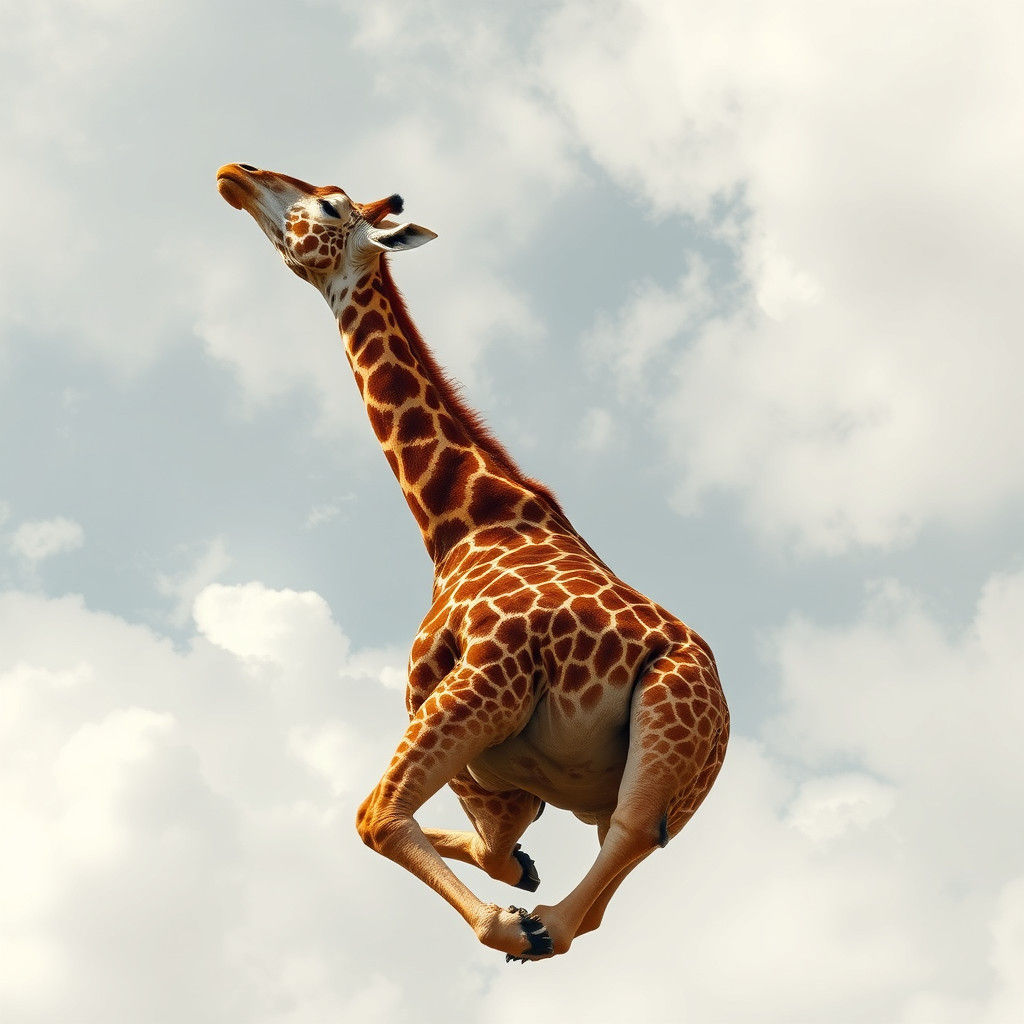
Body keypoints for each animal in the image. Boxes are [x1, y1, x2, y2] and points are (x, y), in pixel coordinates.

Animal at [216, 163, 729, 961]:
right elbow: (483, 843)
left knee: (619, 844)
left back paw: (533, 926)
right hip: (672, 774)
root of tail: (725, 719)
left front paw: (512, 915)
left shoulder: (482, 680)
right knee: (613, 868)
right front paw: (521, 869)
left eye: (328, 206)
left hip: (666, 722)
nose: (233, 174)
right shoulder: (501, 759)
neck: (458, 521)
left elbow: (377, 815)